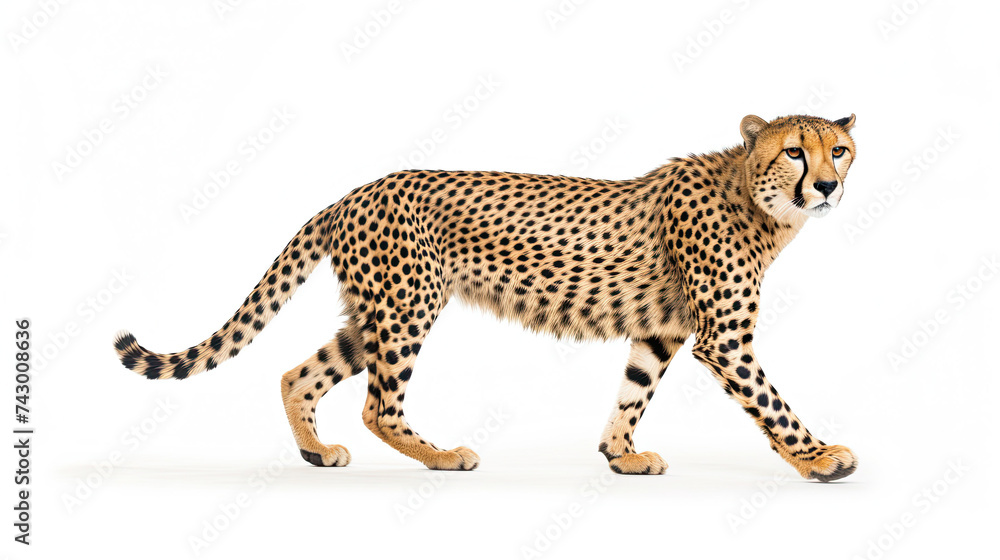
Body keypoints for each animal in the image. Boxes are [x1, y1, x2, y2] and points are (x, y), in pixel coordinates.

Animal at [114, 113, 859, 481]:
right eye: (795, 151)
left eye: (841, 149)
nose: (827, 186)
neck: (759, 202)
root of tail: (355, 190)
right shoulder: (725, 340)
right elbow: (772, 402)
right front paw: (819, 456)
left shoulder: (663, 331)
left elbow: (634, 389)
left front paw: (620, 454)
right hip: (407, 306)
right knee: (378, 405)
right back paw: (442, 455)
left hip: (373, 314)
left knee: (299, 373)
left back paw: (316, 453)